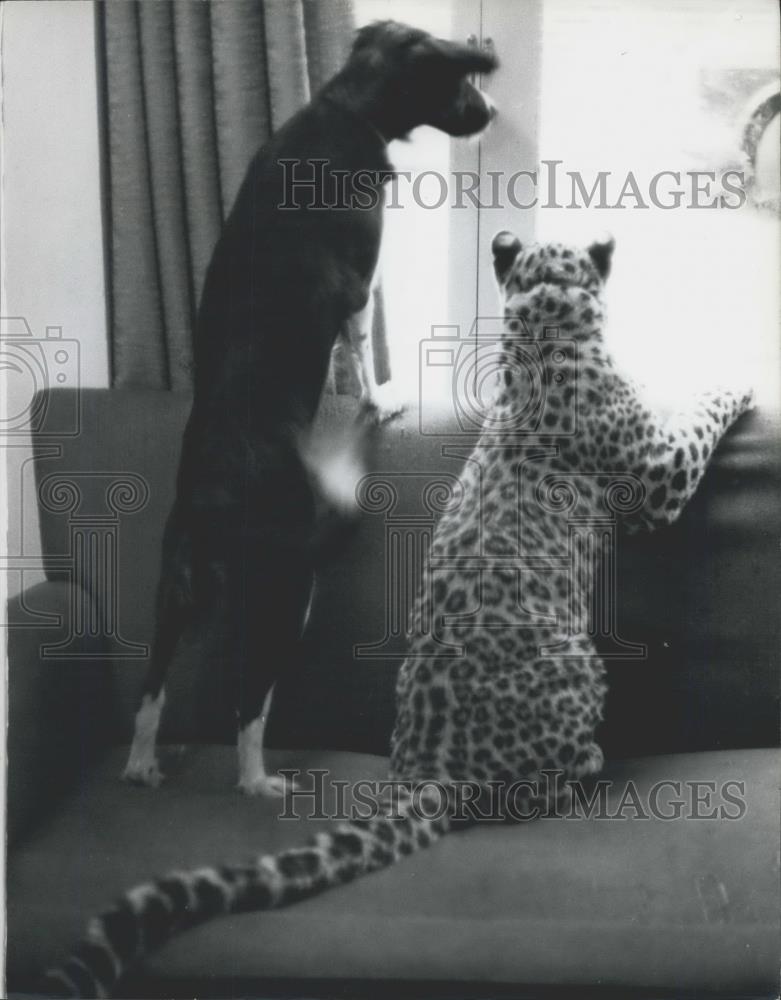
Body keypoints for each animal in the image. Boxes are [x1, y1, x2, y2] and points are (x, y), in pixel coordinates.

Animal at [124, 19, 496, 796]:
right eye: (458, 81)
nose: (490, 113)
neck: (345, 107)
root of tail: (210, 496)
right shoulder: (359, 286)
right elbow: (361, 354)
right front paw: (382, 399)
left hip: (176, 592)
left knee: (150, 688)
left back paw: (142, 761)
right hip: (287, 588)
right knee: (248, 702)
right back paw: (257, 779)